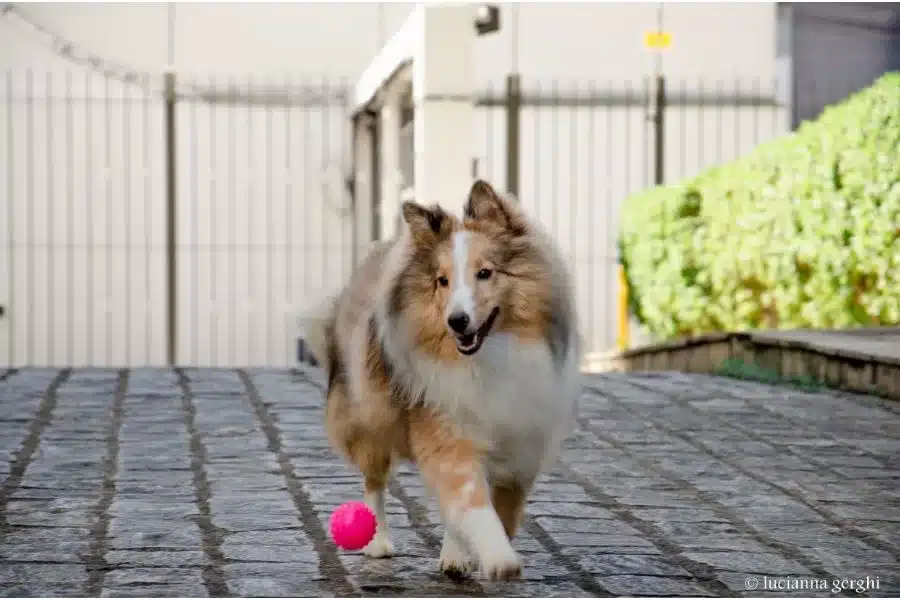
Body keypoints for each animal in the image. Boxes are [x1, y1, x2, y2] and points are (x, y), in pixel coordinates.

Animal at [304, 179, 584, 580]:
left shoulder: (523, 439)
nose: (457, 321)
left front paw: (475, 550)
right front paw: (498, 557)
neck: (489, 354)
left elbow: (501, 503)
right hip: (370, 417)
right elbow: (470, 497)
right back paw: (379, 542)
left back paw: (453, 555)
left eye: (485, 273)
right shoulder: (446, 423)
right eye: (442, 281)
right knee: (375, 482)